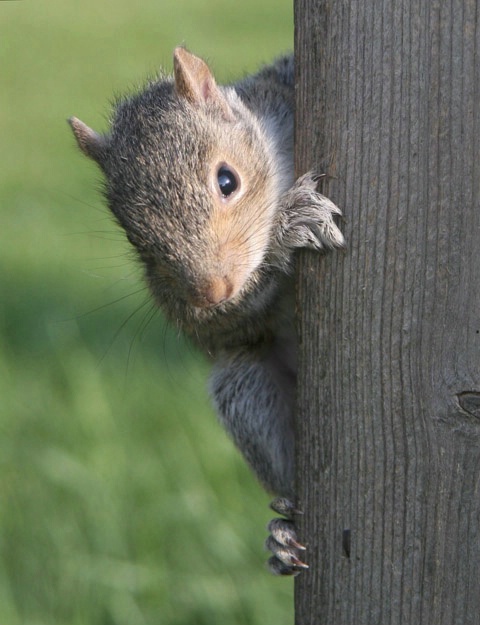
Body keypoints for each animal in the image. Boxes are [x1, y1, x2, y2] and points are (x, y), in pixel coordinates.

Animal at [68, 48, 344, 576]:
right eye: (131, 234)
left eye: (227, 180)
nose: (212, 290)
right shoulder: (185, 308)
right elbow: (218, 326)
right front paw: (287, 232)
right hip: (242, 388)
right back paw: (284, 534)